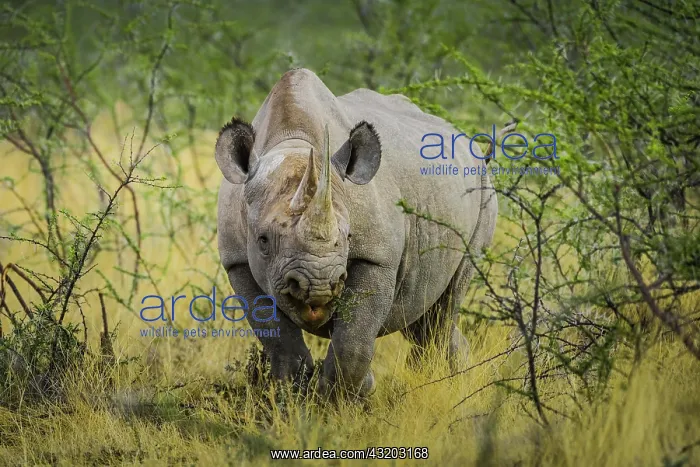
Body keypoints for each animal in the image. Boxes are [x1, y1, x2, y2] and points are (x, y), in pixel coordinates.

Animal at [215, 68, 499, 398]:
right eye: (262, 241)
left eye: (349, 238)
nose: (318, 286)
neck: (292, 142)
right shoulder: (237, 261)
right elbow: (281, 343)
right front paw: (294, 397)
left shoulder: (377, 257)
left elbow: (353, 340)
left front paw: (342, 401)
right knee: (424, 314)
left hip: (482, 191)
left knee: (444, 307)